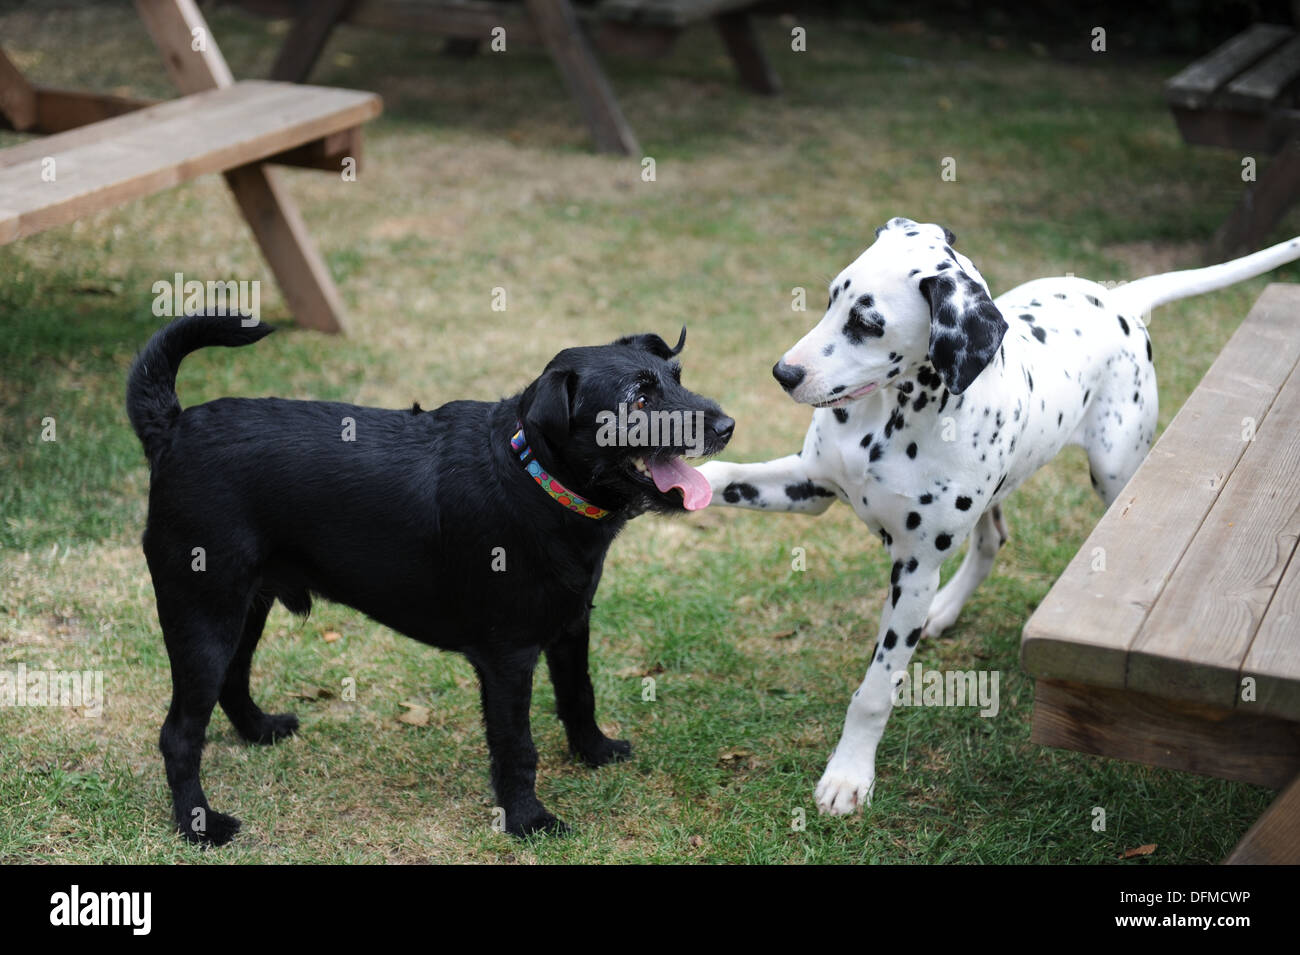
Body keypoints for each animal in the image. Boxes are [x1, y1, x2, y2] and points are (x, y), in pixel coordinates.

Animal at [126, 315, 733, 841]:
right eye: (638, 399)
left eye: (676, 378)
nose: (727, 426)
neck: (534, 479)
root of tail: (171, 428)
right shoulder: (508, 659)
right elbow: (516, 747)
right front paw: (527, 820)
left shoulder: (571, 626)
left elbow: (579, 694)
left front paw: (594, 753)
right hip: (203, 617)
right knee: (179, 734)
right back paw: (200, 825)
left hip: (245, 607)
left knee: (233, 681)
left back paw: (259, 732)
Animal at [702, 220, 1300, 815]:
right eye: (830, 299)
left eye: (868, 323)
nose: (784, 372)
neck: (892, 417)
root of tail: (1119, 298)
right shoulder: (809, 486)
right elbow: (723, 475)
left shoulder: (914, 571)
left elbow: (874, 690)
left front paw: (849, 774)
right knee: (991, 543)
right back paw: (946, 610)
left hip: (1114, 472)